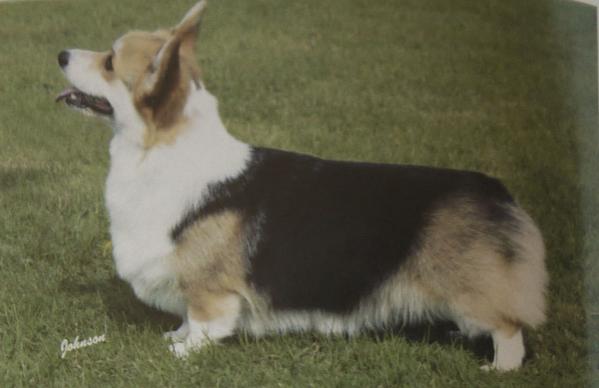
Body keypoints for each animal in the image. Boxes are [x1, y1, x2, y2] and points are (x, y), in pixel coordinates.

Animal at [57, 0, 548, 370]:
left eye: (109, 61)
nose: (61, 55)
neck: (158, 152)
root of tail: (499, 193)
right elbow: (185, 320)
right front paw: (173, 337)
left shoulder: (210, 291)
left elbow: (203, 323)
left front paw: (183, 352)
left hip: (470, 293)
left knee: (509, 328)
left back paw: (498, 369)